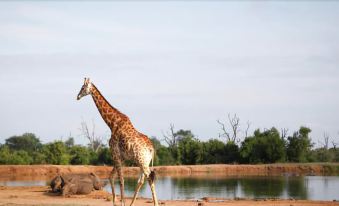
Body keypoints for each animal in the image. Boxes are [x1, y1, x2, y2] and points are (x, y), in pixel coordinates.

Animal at [77, 77, 160, 206]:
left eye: (82, 87)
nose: (78, 96)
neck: (112, 123)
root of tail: (151, 148)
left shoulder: (115, 154)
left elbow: (121, 180)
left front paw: (121, 203)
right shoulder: (121, 157)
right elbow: (111, 177)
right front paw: (115, 202)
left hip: (142, 161)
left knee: (149, 178)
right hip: (143, 162)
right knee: (141, 180)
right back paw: (132, 203)